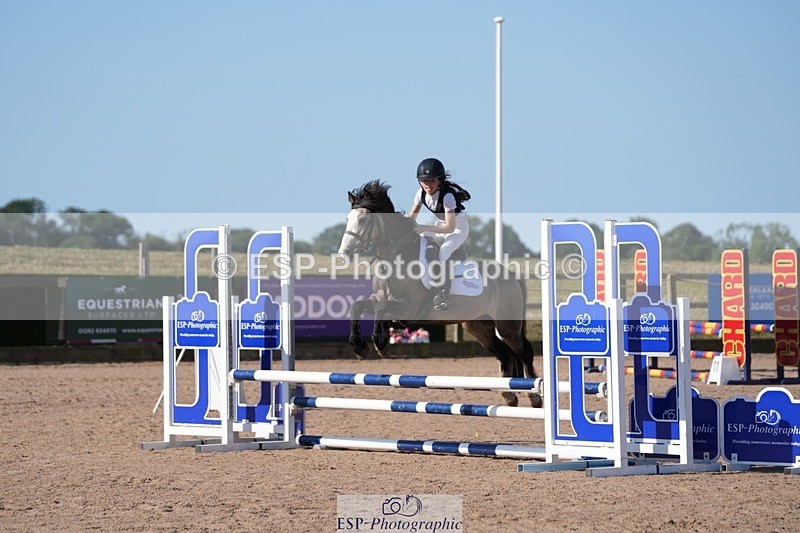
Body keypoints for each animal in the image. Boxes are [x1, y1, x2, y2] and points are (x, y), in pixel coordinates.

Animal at [337, 180, 540, 408]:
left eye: (364, 219)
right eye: (348, 219)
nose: (344, 253)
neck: (395, 258)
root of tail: (513, 275)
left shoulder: (408, 308)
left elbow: (381, 310)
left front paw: (380, 344)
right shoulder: (378, 300)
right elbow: (357, 306)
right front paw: (359, 347)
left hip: (507, 327)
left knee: (524, 353)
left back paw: (535, 397)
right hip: (480, 327)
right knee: (504, 355)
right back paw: (508, 395)